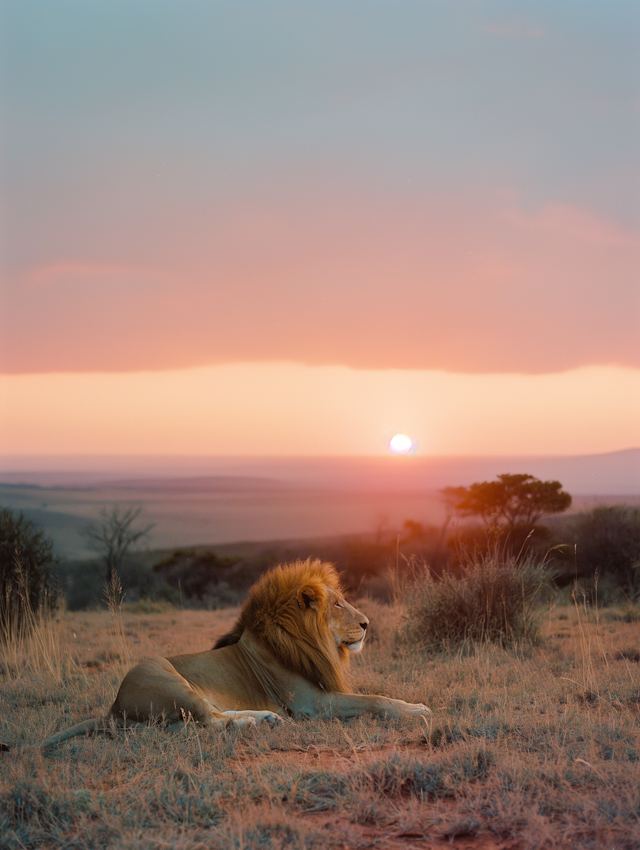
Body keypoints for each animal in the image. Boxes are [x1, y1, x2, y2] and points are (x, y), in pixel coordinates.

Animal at [41, 556, 430, 748]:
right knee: (211, 722)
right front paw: (417, 710)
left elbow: (380, 695)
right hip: (165, 679)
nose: (366, 623)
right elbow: (377, 699)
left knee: (203, 720)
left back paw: (265, 718)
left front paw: (413, 704)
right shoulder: (314, 704)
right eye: (337, 604)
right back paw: (258, 721)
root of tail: (114, 707)